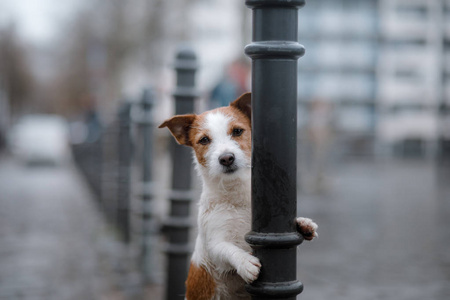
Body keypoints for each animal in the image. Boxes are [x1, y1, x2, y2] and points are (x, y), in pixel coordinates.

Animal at [160, 92, 318, 298]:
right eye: (204, 140)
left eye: (237, 131)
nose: (226, 158)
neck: (236, 198)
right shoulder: (214, 244)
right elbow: (226, 248)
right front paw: (244, 261)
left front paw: (303, 223)